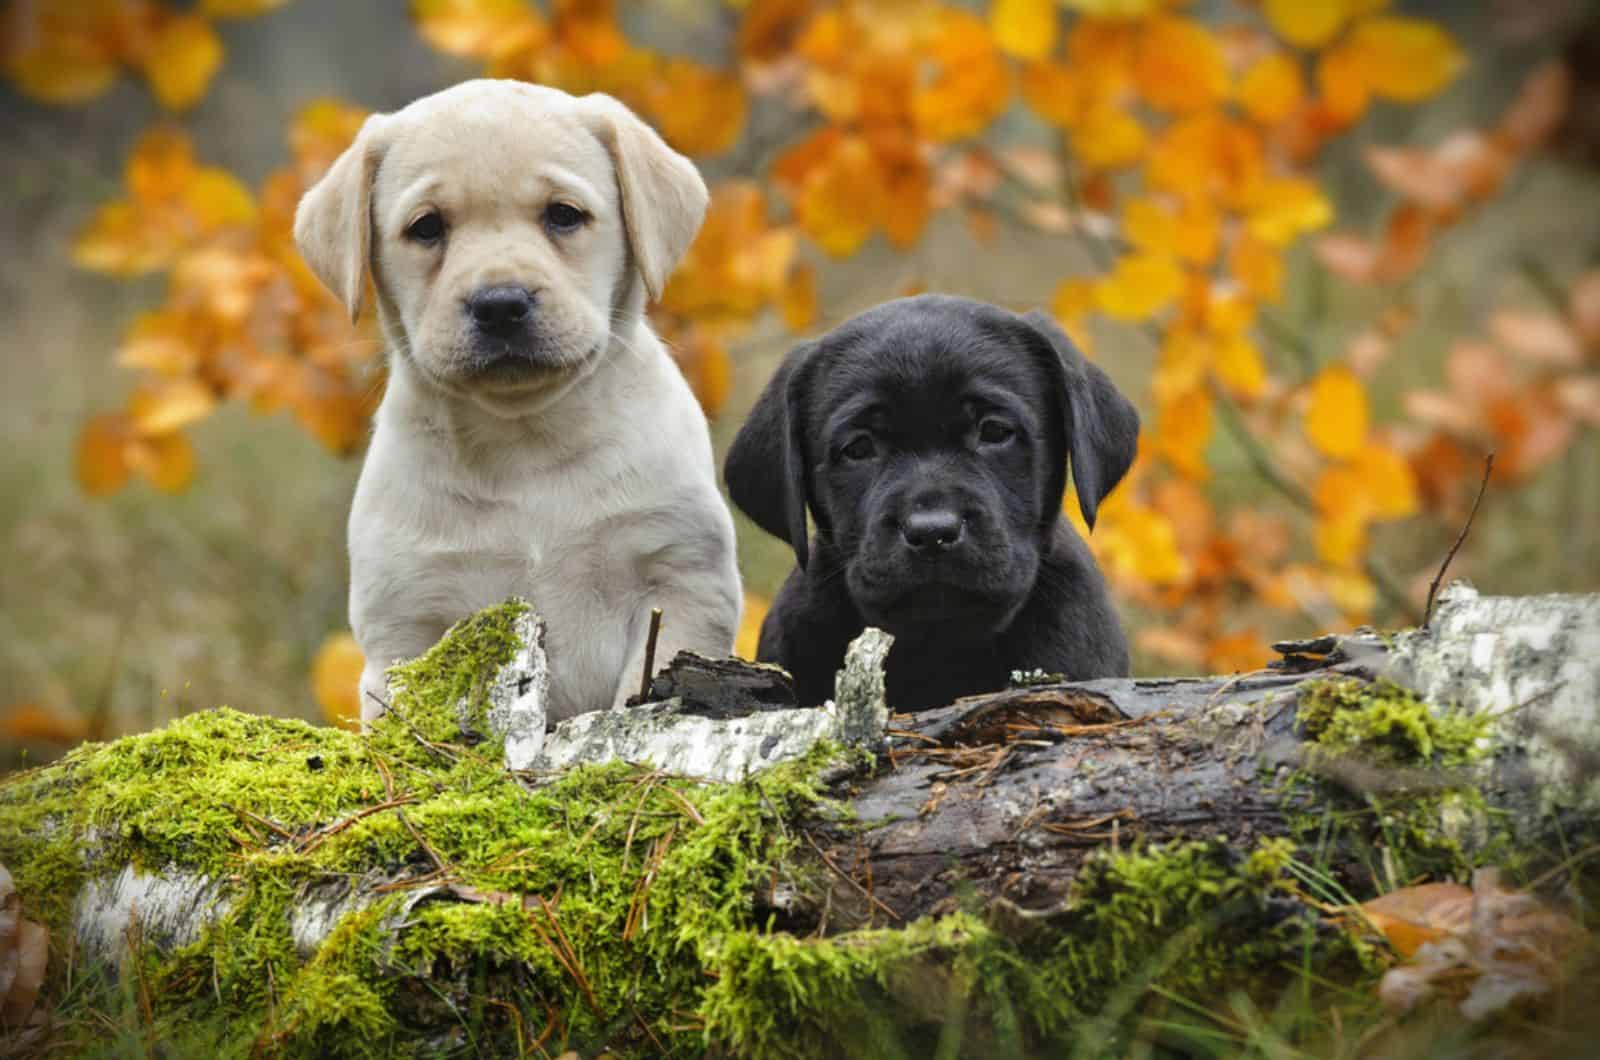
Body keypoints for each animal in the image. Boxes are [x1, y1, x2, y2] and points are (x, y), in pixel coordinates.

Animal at [296, 78, 742, 726]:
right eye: (426, 228)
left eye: (563, 215)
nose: (500, 304)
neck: (525, 441)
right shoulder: (407, 623)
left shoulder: (682, 581)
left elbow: (644, 678)